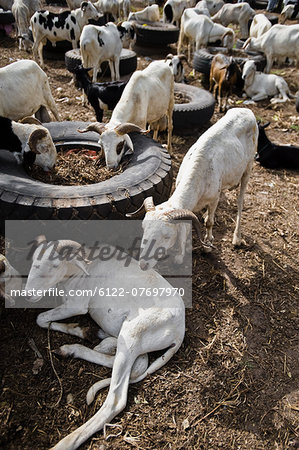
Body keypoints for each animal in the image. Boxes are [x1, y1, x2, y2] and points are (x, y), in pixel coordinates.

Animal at [25, 237, 185, 448]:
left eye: (55, 265)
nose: (28, 294)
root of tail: (180, 331)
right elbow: (43, 319)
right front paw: (83, 331)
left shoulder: (76, 305)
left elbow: (41, 318)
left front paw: (81, 330)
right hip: (135, 340)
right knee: (137, 363)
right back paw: (81, 346)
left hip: (133, 333)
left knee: (116, 400)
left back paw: (66, 443)